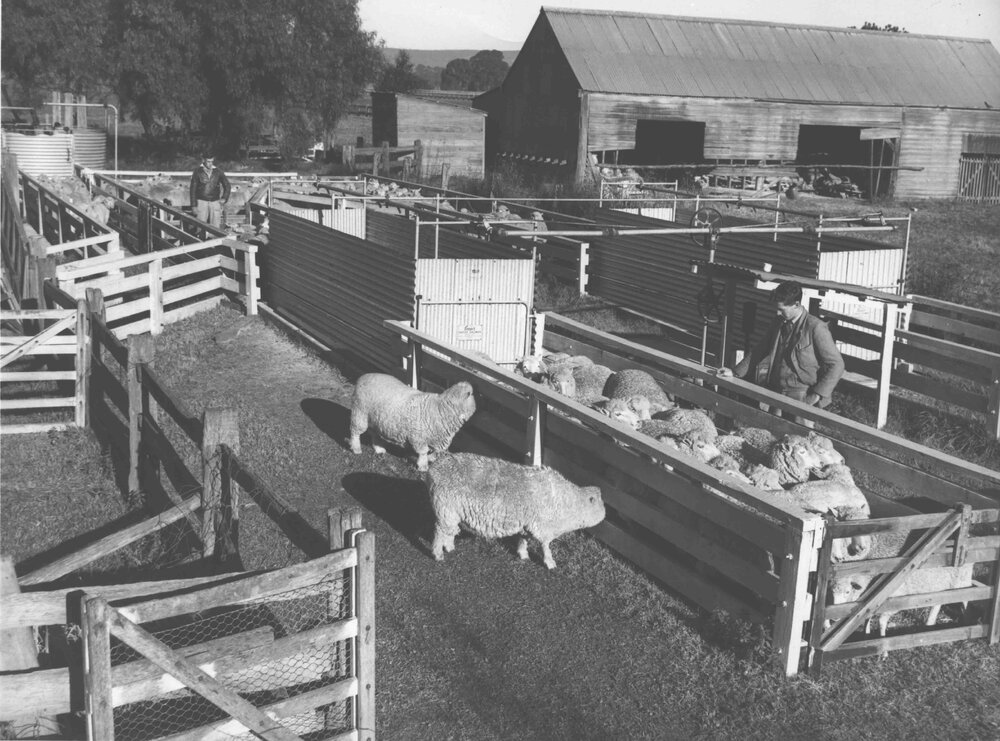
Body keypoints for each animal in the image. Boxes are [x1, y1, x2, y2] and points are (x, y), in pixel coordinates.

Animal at [348, 373, 476, 472]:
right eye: (472, 394)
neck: (440, 408)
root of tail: (363, 376)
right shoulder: (418, 437)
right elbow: (423, 452)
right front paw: (423, 466)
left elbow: (432, 452)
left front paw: (430, 459)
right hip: (360, 412)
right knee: (355, 431)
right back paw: (356, 448)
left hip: (374, 419)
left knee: (374, 434)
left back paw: (379, 449)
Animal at [427, 452, 606, 569]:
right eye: (601, 504)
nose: (605, 514)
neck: (568, 504)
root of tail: (434, 470)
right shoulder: (543, 527)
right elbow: (545, 546)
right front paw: (550, 563)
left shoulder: (527, 524)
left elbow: (523, 539)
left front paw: (523, 554)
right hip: (445, 508)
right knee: (439, 531)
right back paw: (437, 554)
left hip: (451, 512)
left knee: (449, 531)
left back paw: (449, 546)